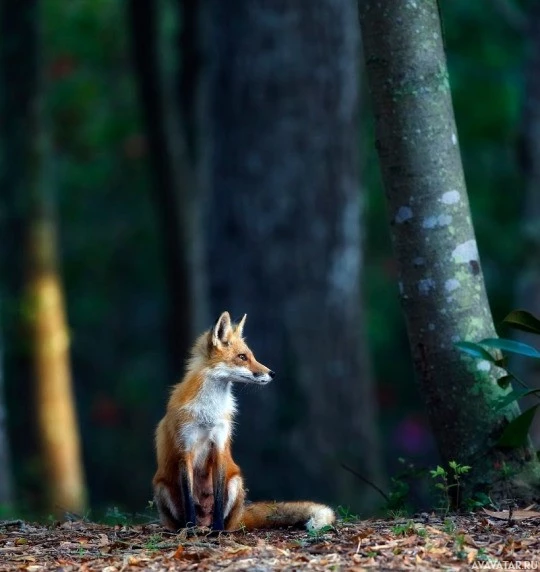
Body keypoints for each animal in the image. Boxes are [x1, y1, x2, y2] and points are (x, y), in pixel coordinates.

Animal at [153, 312, 338, 532]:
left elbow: (218, 498)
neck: (209, 413)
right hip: (162, 487)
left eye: (252, 356)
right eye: (242, 357)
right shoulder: (185, 449)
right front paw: (190, 529)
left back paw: (217, 528)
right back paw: (189, 527)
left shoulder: (219, 444)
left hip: (235, 481)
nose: (272, 374)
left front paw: (218, 530)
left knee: (228, 518)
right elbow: (188, 498)